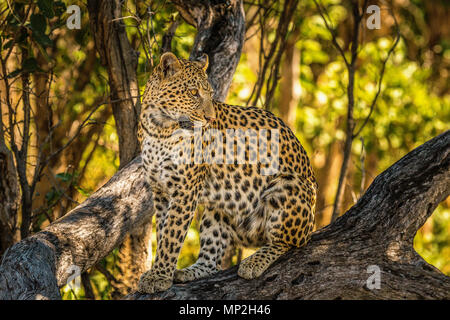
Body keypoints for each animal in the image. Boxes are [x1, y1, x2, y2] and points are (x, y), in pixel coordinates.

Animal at [137, 51, 316, 294]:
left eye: (211, 95)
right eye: (193, 93)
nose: (210, 118)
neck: (160, 128)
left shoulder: (185, 190)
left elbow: (172, 236)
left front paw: (159, 276)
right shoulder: (161, 191)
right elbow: (164, 230)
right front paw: (161, 272)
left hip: (287, 186)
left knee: (290, 241)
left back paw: (253, 262)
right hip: (217, 209)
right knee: (211, 260)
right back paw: (189, 272)